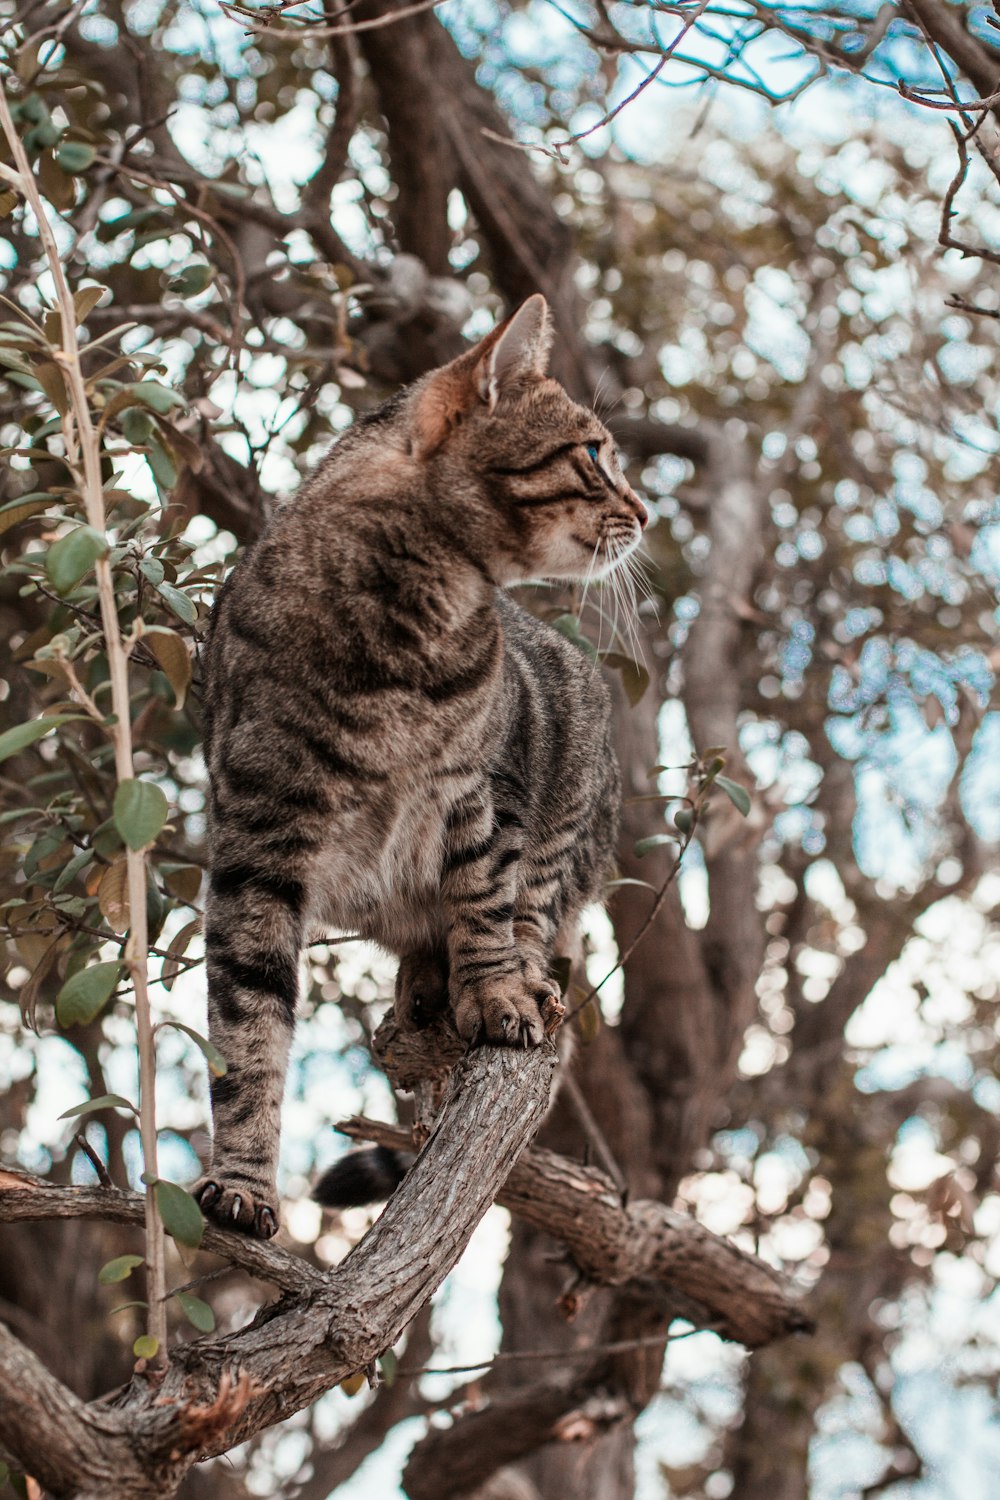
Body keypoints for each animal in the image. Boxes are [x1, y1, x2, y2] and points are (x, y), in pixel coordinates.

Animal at [194, 295, 650, 1242]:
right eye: (594, 455)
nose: (649, 510)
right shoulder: (260, 838)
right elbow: (246, 1025)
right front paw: (244, 1179)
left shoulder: (489, 794)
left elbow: (485, 898)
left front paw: (498, 992)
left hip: (576, 787)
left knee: (535, 908)